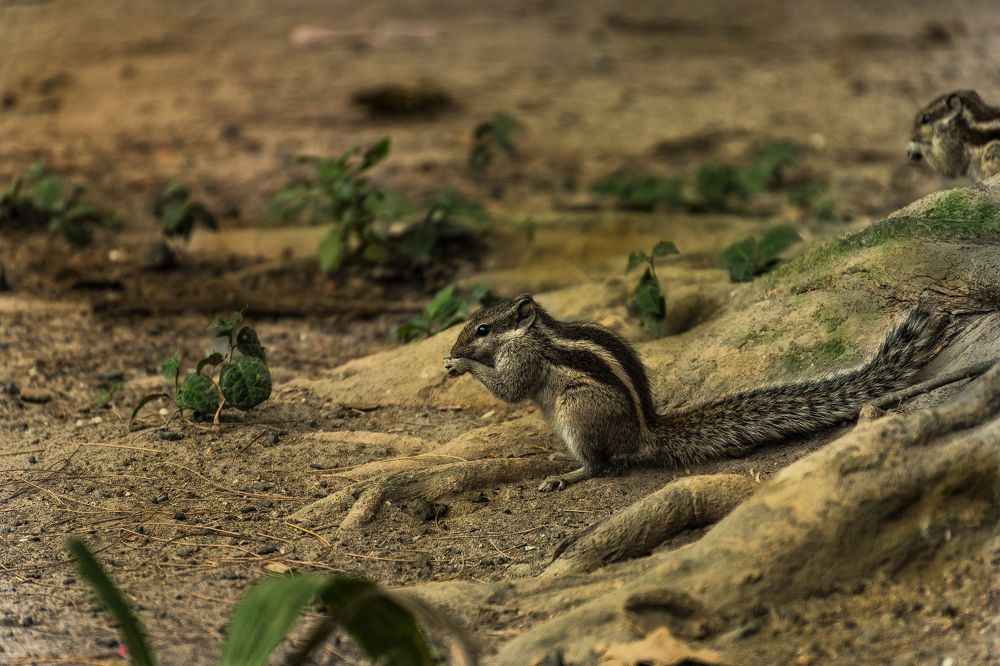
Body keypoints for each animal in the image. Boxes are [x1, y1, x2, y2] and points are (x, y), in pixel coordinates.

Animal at [443, 294, 945, 491]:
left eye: (483, 329)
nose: (451, 349)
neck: (532, 333)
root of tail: (645, 431)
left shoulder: (525, 359)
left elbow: (510, 389)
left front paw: (463, 365)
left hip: (576, 410)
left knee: (601, 464)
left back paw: (568, 474)